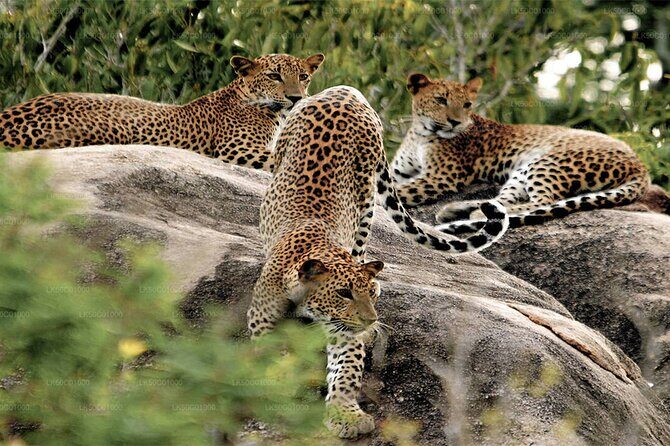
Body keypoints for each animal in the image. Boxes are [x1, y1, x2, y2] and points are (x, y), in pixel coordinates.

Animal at [248, 85, 508, 438]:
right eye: (343, 293)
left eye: (370, 294)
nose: (372, 320)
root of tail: (344, 91)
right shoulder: (262, 317)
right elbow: (267, 356)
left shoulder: (345, 330)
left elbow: (345, 369)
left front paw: (347, 415)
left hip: (366, 199)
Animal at [391, 73, 650, 235]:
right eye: (440, 100)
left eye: (467, 105)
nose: (456, 122)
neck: (420, 132)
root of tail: (641, 165)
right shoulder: (397, 170)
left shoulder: (440, 177)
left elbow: (400, 191)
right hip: (523, 169)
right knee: (502, 201)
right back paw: (456, 209)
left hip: (547, 162)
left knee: (542, 202)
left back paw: (470, 213)